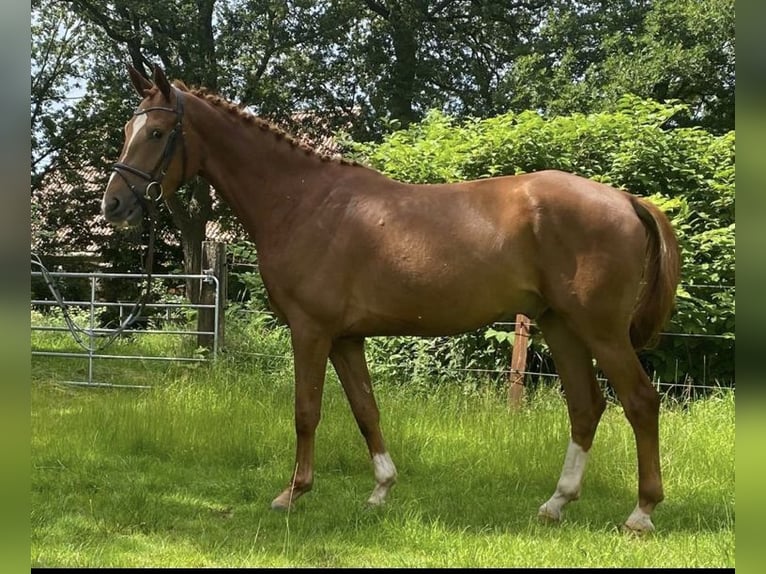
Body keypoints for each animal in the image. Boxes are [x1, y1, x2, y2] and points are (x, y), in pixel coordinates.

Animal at [100, 67, 680, 536]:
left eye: (156, 133)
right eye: (128, 132)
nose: (114, 205)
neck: (302, 201)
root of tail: (625, 199)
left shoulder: (311, 331)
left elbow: (306, 411)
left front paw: (291, 494)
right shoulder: (347, 339)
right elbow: (365, 409)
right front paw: (381, 489)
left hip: (601, 330)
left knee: (640, 401)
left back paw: (642, 513)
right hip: (560, 325)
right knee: (586, 406)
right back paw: (556, 504)